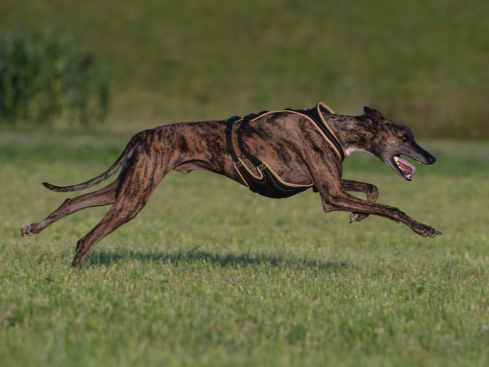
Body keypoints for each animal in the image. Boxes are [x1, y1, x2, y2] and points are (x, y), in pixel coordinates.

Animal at [20, 103, 438, 268]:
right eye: (406, 136)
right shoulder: (331, 195)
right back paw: (75, 271)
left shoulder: (325, 185)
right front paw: (424, 228)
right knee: (87, 237)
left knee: (71, 203)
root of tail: (145, 133)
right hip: (134, 197)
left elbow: (373, 190)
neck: (337, 128)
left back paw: (33, 227)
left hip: (127, 186)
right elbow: (392, 208)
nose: (431, 158)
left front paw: (358, 217)